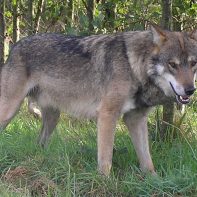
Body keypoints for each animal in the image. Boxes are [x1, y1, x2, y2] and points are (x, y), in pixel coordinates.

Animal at [0, 24, 197, 175]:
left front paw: (154, 181)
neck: (133, 66)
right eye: (172, 64)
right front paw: (105, 182)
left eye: (193, 63)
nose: (190, 90)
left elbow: (147, 161)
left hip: (52, 118)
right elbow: (106, 159)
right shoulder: (107, 115)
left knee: (39, 142)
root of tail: (16, 45)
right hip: (9, 111)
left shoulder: (136, 119)